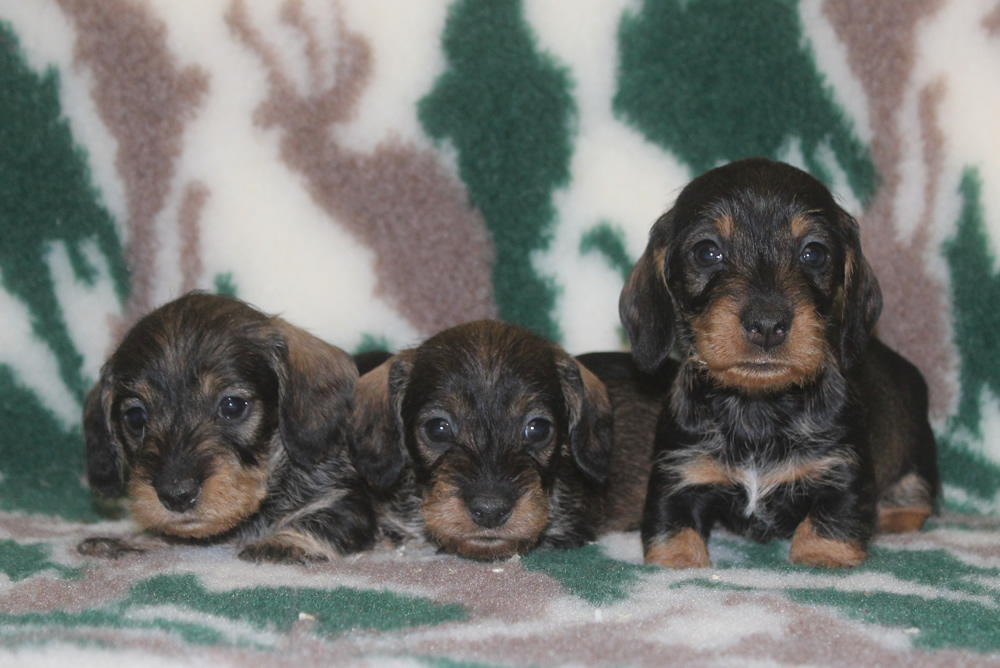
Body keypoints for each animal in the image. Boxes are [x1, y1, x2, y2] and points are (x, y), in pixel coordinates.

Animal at [80, 292, 376, 564]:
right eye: (135, 417)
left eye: (232, 406)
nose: (177, 496)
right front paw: (129, 540)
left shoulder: (347, 504)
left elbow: (323, 519)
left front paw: (285, 541)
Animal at [620, 157, 940, 568]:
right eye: (707, 251)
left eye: (814, 253)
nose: (768, 325)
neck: (758, 410)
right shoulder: (677, 474)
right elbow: (672, 532)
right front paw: (680, 564)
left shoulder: (842, 470)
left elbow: (829, 523)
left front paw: (821, 555)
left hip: (917, 458)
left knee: (916, 498)